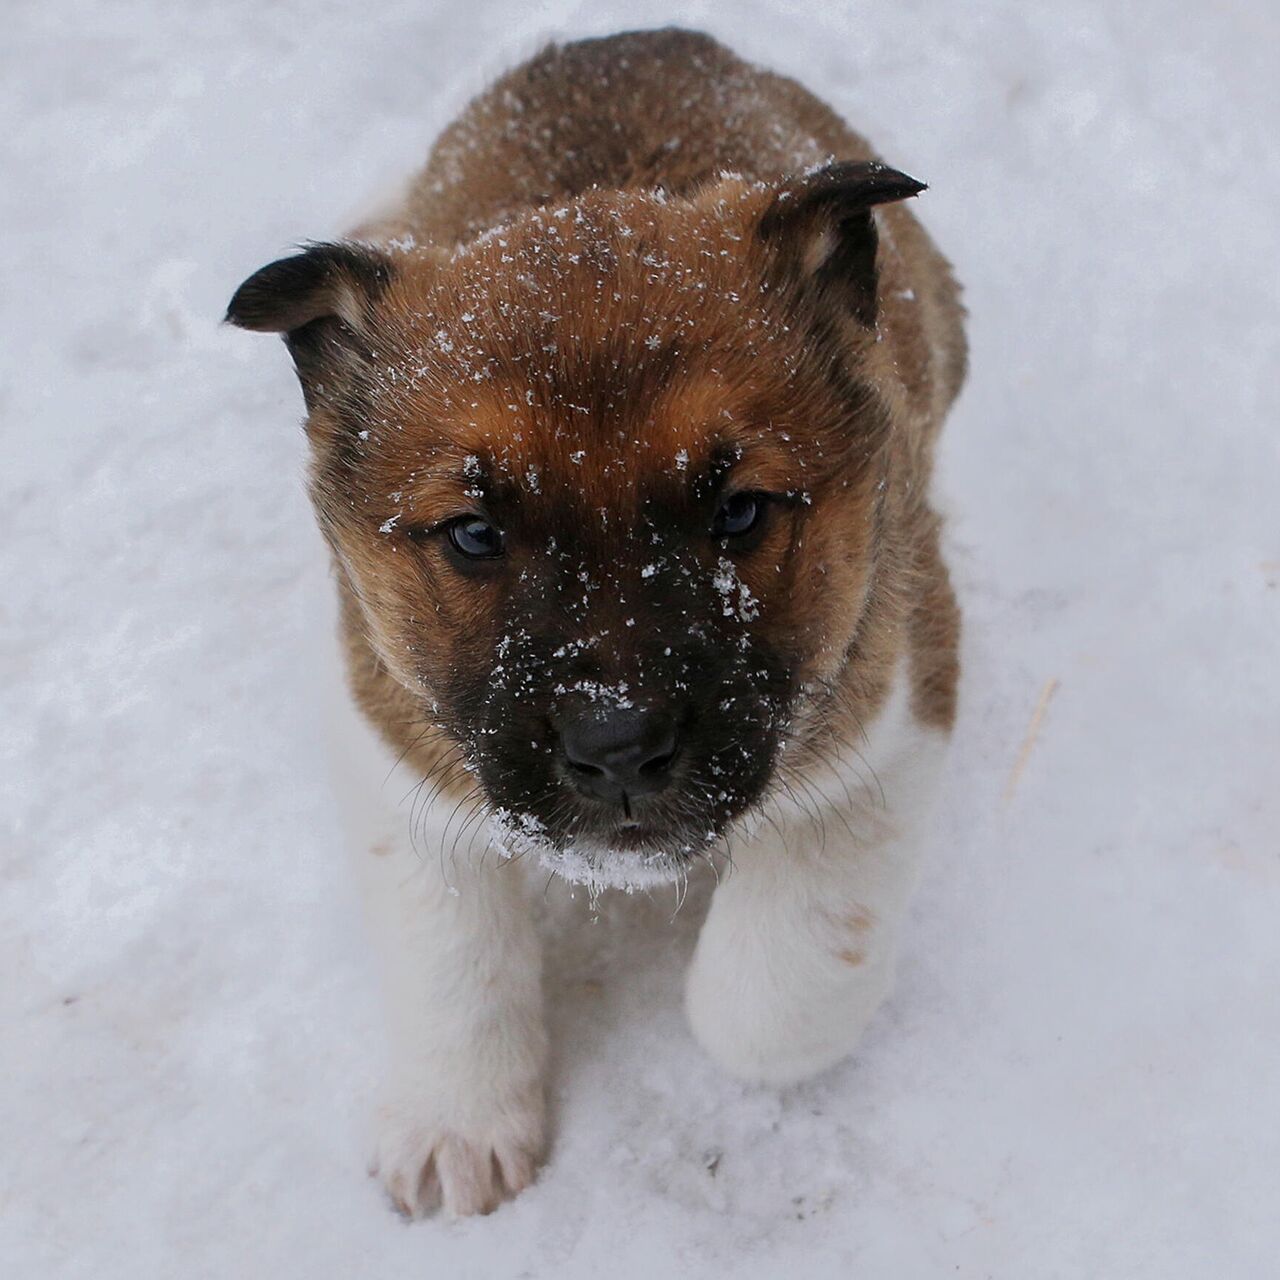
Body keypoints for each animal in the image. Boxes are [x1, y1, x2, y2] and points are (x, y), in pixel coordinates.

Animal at [230, 30, 962, 1218]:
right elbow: (450, 955)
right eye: (474, 534)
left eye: (738, 512)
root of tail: (637, 35)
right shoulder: (382, 725)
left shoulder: (897, 699)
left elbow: (772, 989)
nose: (618, 746)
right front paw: (456, 1125)